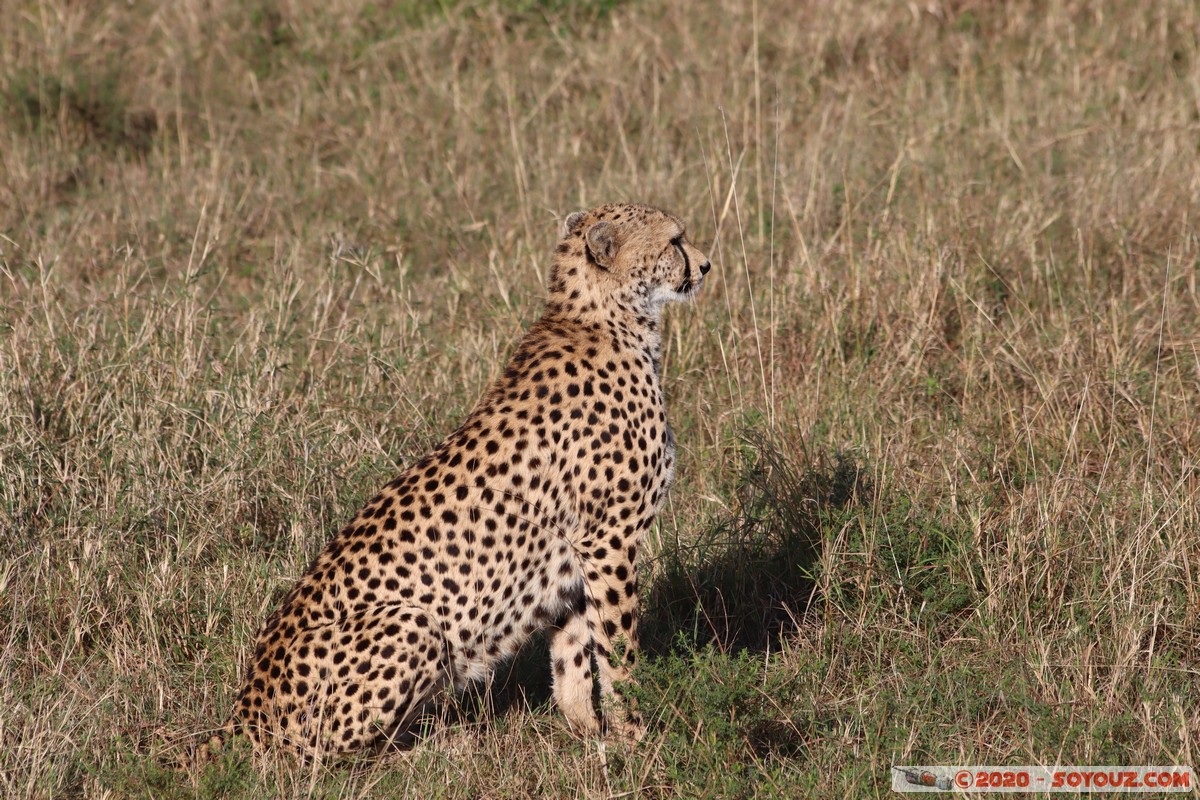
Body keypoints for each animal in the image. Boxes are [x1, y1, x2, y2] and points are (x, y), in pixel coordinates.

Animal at [216, 203, 705, 762]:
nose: (706, 266)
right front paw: (639, 733)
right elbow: (617, 646)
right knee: (320, 758)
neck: (606, 316)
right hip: (412, 624)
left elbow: (574, 657)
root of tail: (243, 710)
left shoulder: (576, 555)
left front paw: (591, 734)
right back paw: (435, 748)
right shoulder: (610, 538)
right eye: (675, 240)